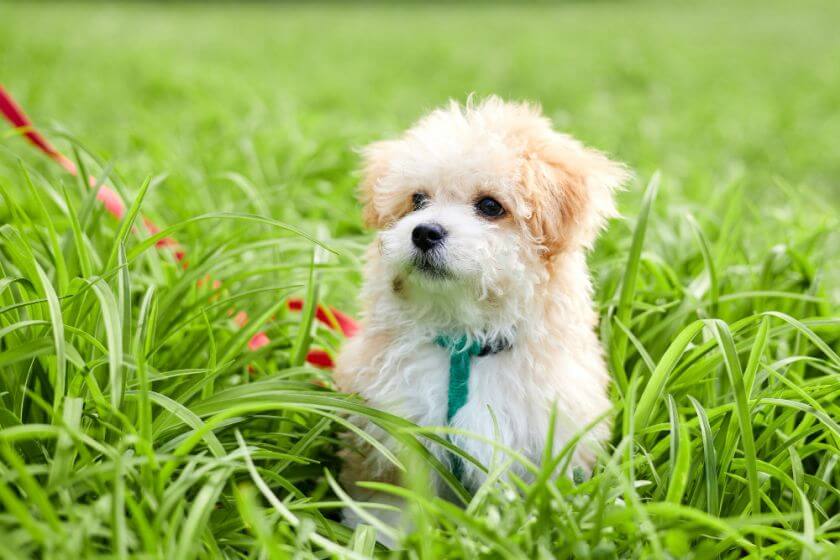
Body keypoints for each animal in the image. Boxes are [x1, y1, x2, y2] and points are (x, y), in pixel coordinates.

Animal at [334, 96, 632, 528]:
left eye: (491, 206)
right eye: (417, 200)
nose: (424, 232)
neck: (466, 346)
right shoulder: (390, 430)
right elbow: (390, 502)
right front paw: (381, 535)